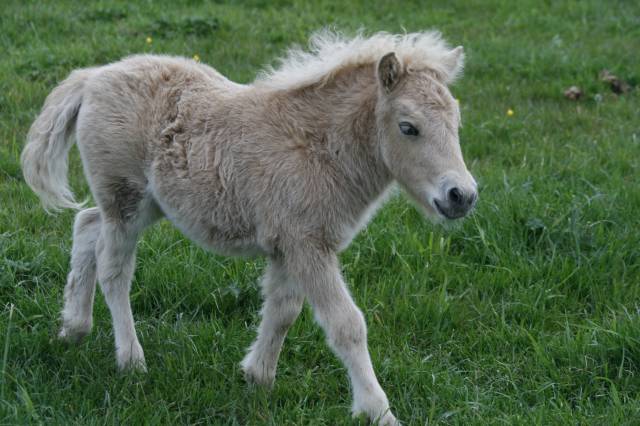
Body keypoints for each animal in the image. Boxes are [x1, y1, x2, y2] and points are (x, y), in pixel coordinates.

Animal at [21, 31, 476, 424]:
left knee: (86, 224)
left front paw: (257, 377)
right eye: (408, 127)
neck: (317, 147)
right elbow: (346, 325)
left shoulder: (289, 244)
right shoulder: (308, 245)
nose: (462, 195)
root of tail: (94, 76)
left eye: (457, 123)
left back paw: (73, 329)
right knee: (114, 269)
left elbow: (283, 309)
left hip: (145, 202)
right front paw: (378, 411)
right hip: (125, 198)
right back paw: (131, 361)